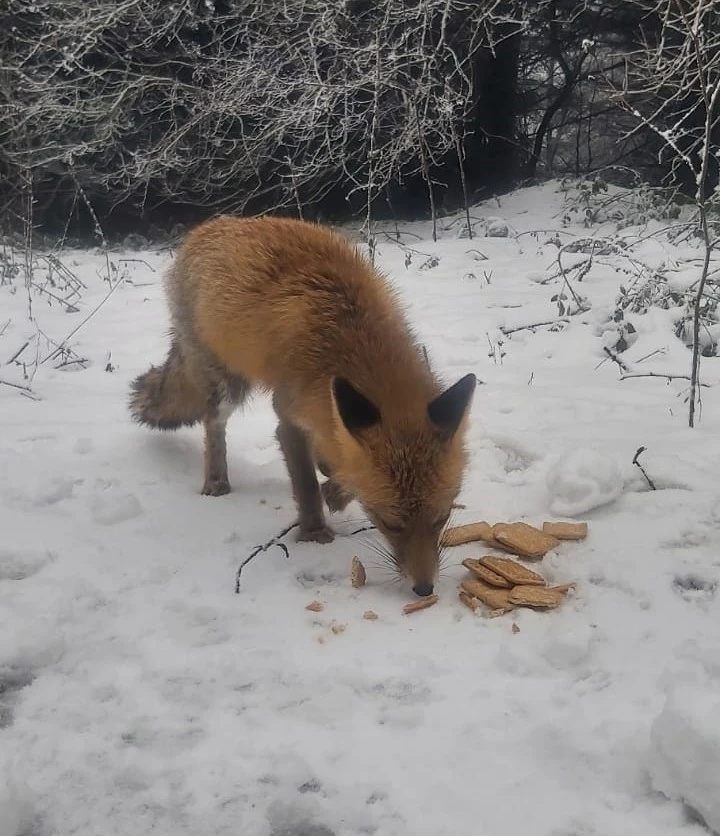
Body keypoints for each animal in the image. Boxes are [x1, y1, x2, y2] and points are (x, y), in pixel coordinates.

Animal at [130, 216, 476, 596]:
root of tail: (209, 225)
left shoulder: (332, 414)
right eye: (389, 523)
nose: (424, 589)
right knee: (212, 426)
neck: (347, 338)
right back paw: (217, 481)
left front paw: (335, 489)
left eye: (442, 517)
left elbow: (340, 465)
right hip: (227, 386)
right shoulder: (289, 416)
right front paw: (314, 531)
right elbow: (307, 484)